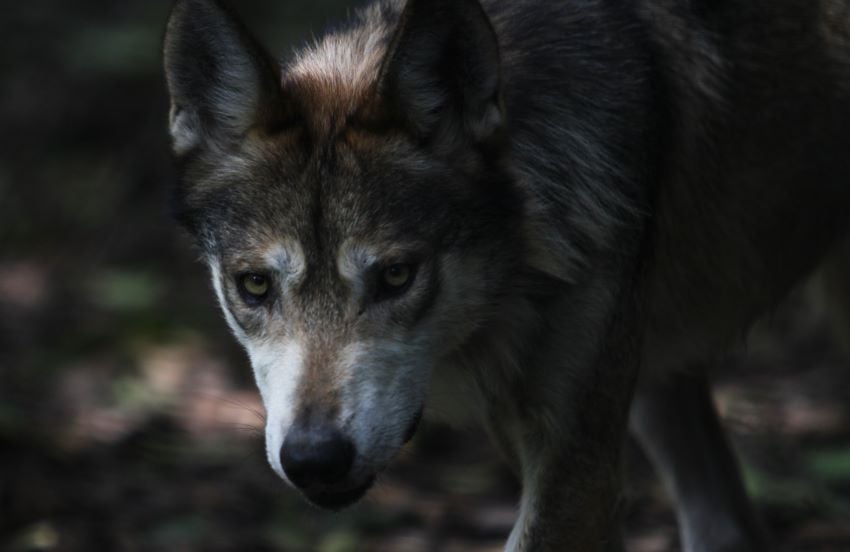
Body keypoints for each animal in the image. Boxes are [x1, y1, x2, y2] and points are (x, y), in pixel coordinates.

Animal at [163, 0, 850, 549]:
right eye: (255, 285)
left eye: (396, 276)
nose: (314, 459)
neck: (527, 278)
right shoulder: (550, 451)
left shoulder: (577, 468)